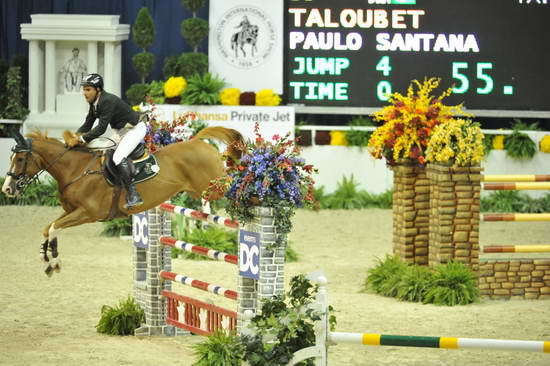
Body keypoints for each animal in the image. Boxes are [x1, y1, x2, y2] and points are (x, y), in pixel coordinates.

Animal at [2, 127, 244, 276]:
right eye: (12, 158)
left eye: (21, 159)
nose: (7, 189)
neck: (76, 170)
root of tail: (198, 142)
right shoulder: (71, 212)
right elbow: (48, 228)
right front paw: (48, 260)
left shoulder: (87, 214)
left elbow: (53, 228)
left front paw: (54, 262)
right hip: (202, 189)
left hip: (218, 185)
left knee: (234, 181)